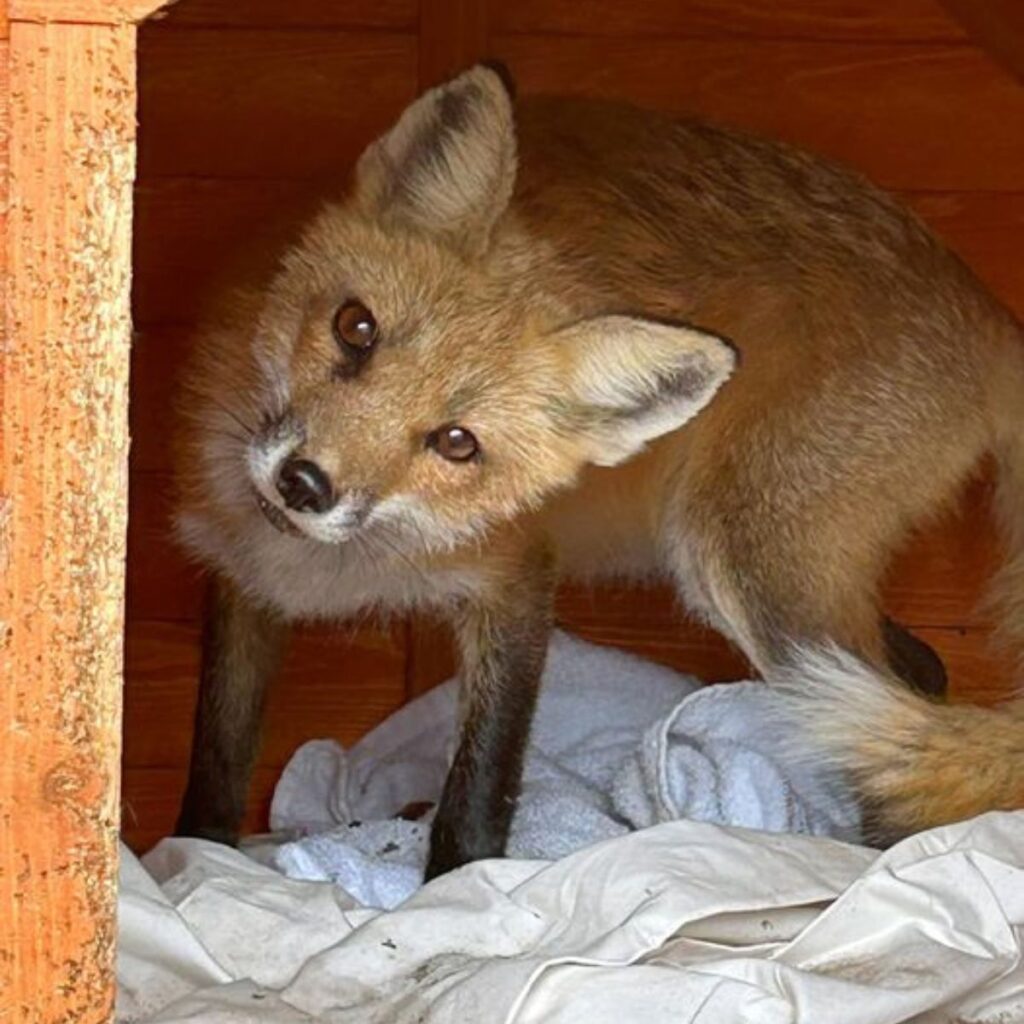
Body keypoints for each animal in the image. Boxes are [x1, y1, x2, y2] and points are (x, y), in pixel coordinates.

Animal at [173, 62, 1024, 878]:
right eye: (356, 329)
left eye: (457, 442)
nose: (305, 484)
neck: (331, 567)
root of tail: (984, 307)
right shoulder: (244, 584)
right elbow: (219, 754)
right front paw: (190, 858)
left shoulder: (516, 582)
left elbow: (482, 782)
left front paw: (454, 893)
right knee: (920, 671)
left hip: (744, 567)